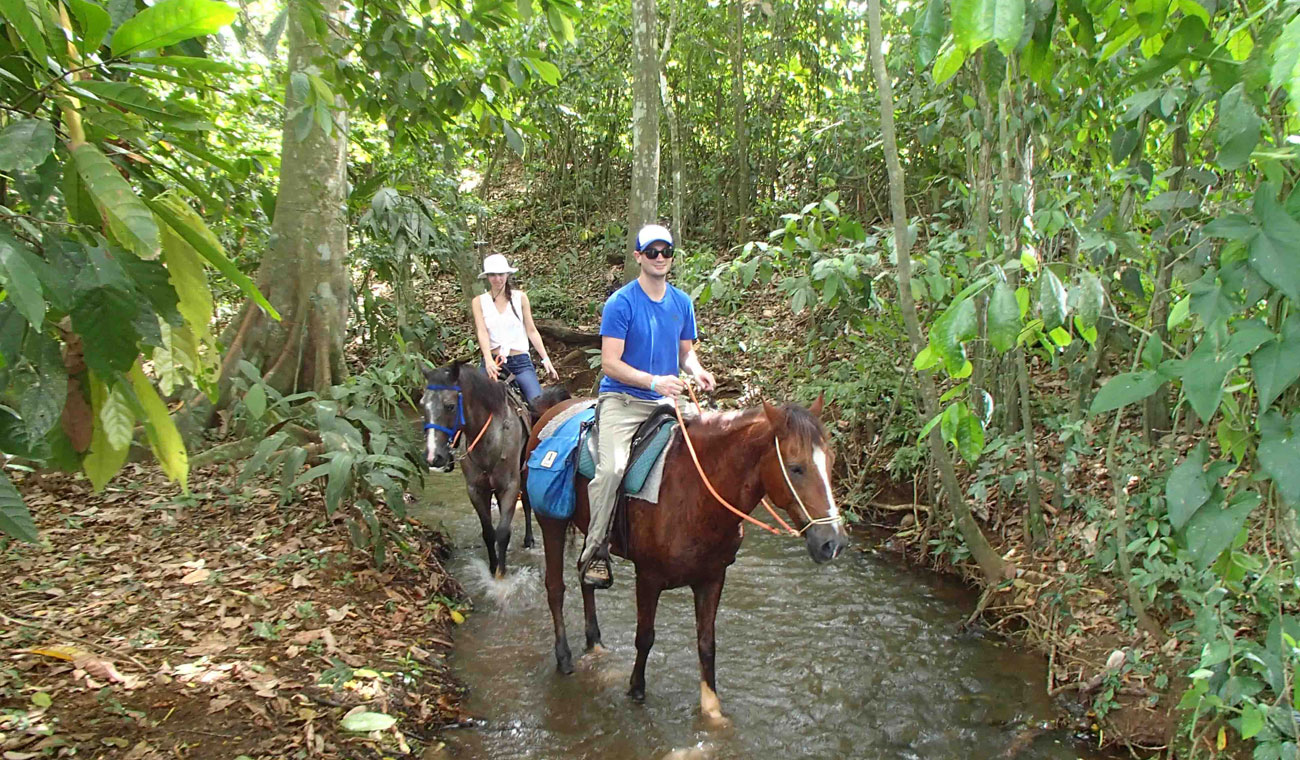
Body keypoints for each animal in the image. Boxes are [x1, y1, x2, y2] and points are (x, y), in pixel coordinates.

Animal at [522, 394, 847, 722]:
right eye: (796, 468)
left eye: (831, 461)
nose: (833, 542)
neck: (695, 492)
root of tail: (551, 411)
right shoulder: (648, 577)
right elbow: (645, 636)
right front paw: (636, 690)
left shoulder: (712, 578)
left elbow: (707, 644)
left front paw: (712, 710)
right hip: (551, 522)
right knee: (555, 588)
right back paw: (564, 658)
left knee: (585, 574)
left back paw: (596, 643)